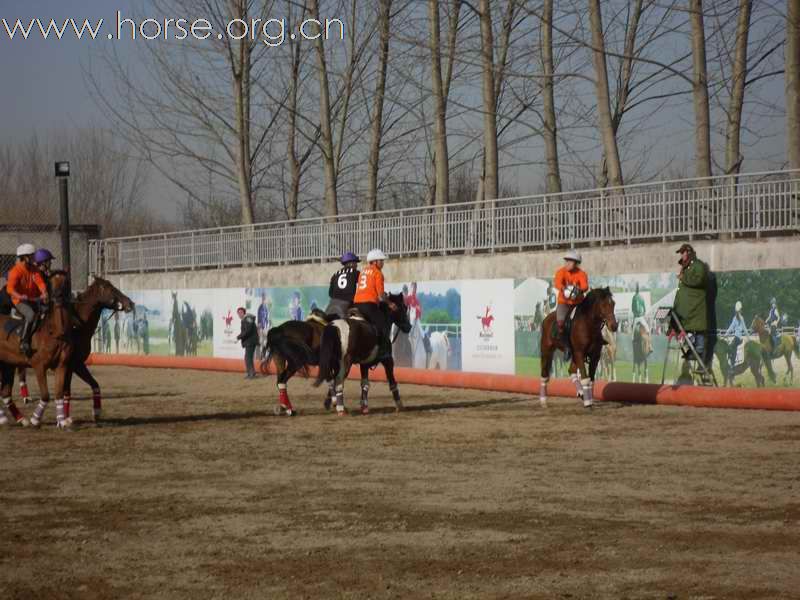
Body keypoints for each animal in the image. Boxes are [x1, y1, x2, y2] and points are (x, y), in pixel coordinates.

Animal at [0, 270, 74, 428]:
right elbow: (45, 395)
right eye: (51, 283)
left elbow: (59, 394)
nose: (58, 297)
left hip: (8, 364)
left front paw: (62, 420)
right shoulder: (39, 366)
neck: (55, 332)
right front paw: (35, 419)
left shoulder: (62, 366)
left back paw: (21, 419)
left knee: (5, 393)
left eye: (65, 282)